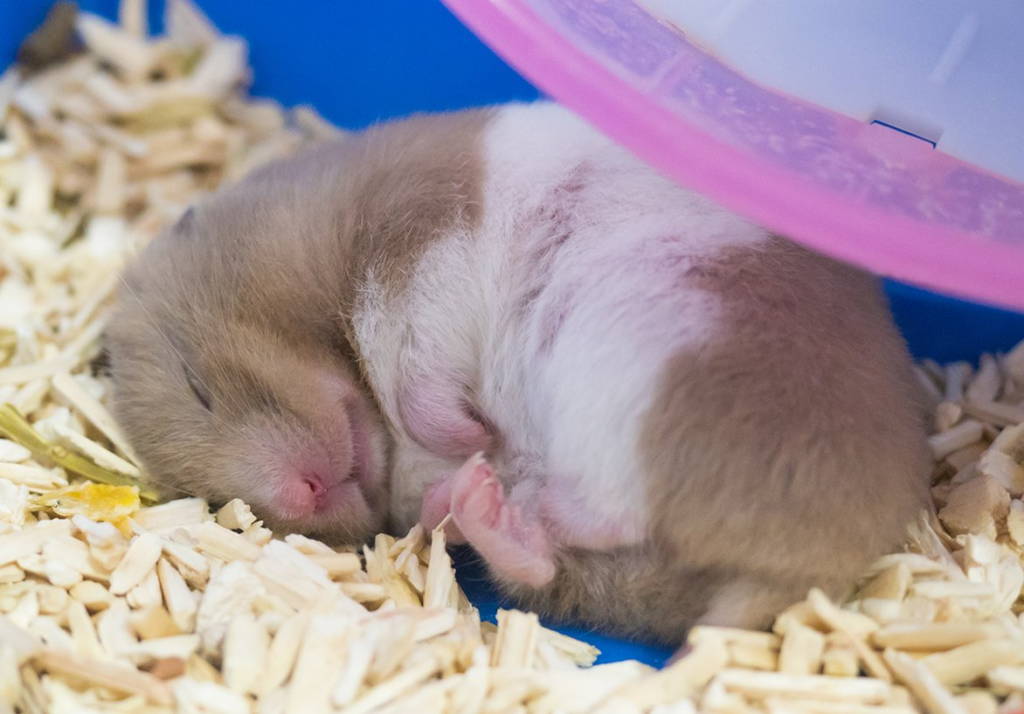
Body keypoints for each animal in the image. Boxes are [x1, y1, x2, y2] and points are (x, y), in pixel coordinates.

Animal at [104, 101, 932, 645]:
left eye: (198, 384)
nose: (302, 494)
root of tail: (810, 573)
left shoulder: (417, 246)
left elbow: (418, 365)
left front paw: (464, 430)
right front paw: (459, 461)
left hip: (638, 339)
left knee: (612, 505)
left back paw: (477, 475)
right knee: (553, 558)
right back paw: (473, 500)